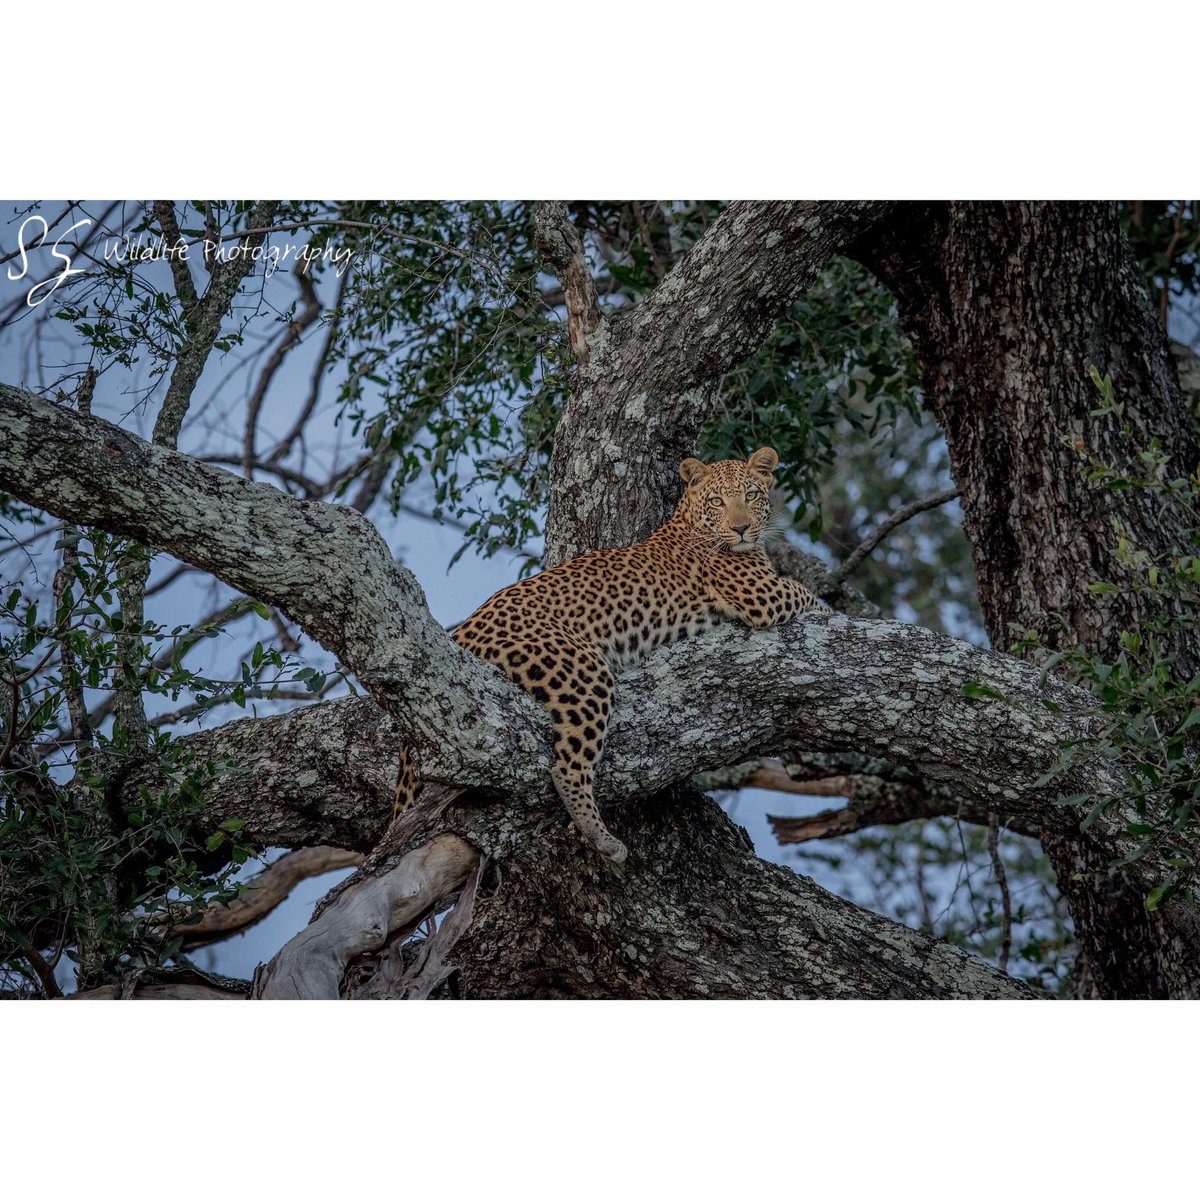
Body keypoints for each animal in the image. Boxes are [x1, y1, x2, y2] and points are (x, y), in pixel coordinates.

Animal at [396, 446, 825, 868]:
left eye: (751, 496)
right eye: (718, 501)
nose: (740, 528)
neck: (690, 520)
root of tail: (463, 631)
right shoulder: (762, 595)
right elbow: (808, 595)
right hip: (582, 670)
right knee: (566, 767)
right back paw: (604, 840)